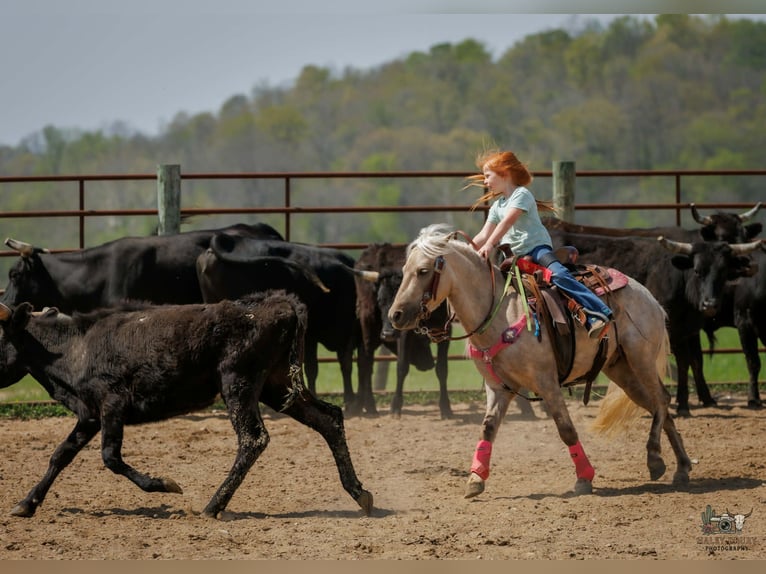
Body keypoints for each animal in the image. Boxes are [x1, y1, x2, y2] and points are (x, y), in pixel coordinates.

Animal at [387, 223, 692, 498]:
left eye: (423, 271)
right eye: (404, 272)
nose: (395, 315)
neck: (500, 311)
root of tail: (648, 296)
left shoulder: (547, 383)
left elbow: (566, 429)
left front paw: (584, 478)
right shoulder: (498, 388)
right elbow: (488, 428)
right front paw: (475, 479)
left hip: (641, 359)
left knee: (661, 399)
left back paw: (655, 458)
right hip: (621, 369)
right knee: (655, 404)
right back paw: (681, 467)